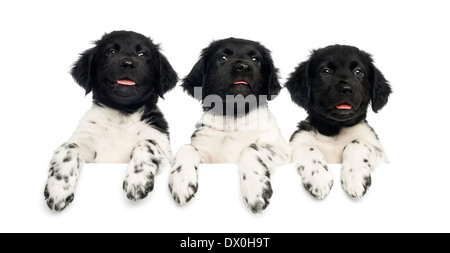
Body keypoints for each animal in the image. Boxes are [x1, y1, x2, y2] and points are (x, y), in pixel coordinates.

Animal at [44, 30, 178, 211]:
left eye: (142, 54)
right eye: (111, 52)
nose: (128, 63)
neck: (122, 115)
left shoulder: (163, 151)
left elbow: (147, 143)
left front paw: (137, 180)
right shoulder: (86, 144)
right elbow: (69, 147)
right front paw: (58, 189)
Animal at [168, 37, 288, 213]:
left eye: (255, 59)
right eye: (222, 58)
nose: (243, 66)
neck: (233, 119)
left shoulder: (283, 150)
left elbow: (250, 148)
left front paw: (256, 190)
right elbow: (187, 147)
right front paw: (182, 181)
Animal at [286, 45, 392, 200]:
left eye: (358, 72)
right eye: (326, 71)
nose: (346, 89)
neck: (334, 130)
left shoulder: (381, 155)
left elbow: (356, 143)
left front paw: (355, 177)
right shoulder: (295, 144)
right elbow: (306, 148)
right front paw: (319, 179)